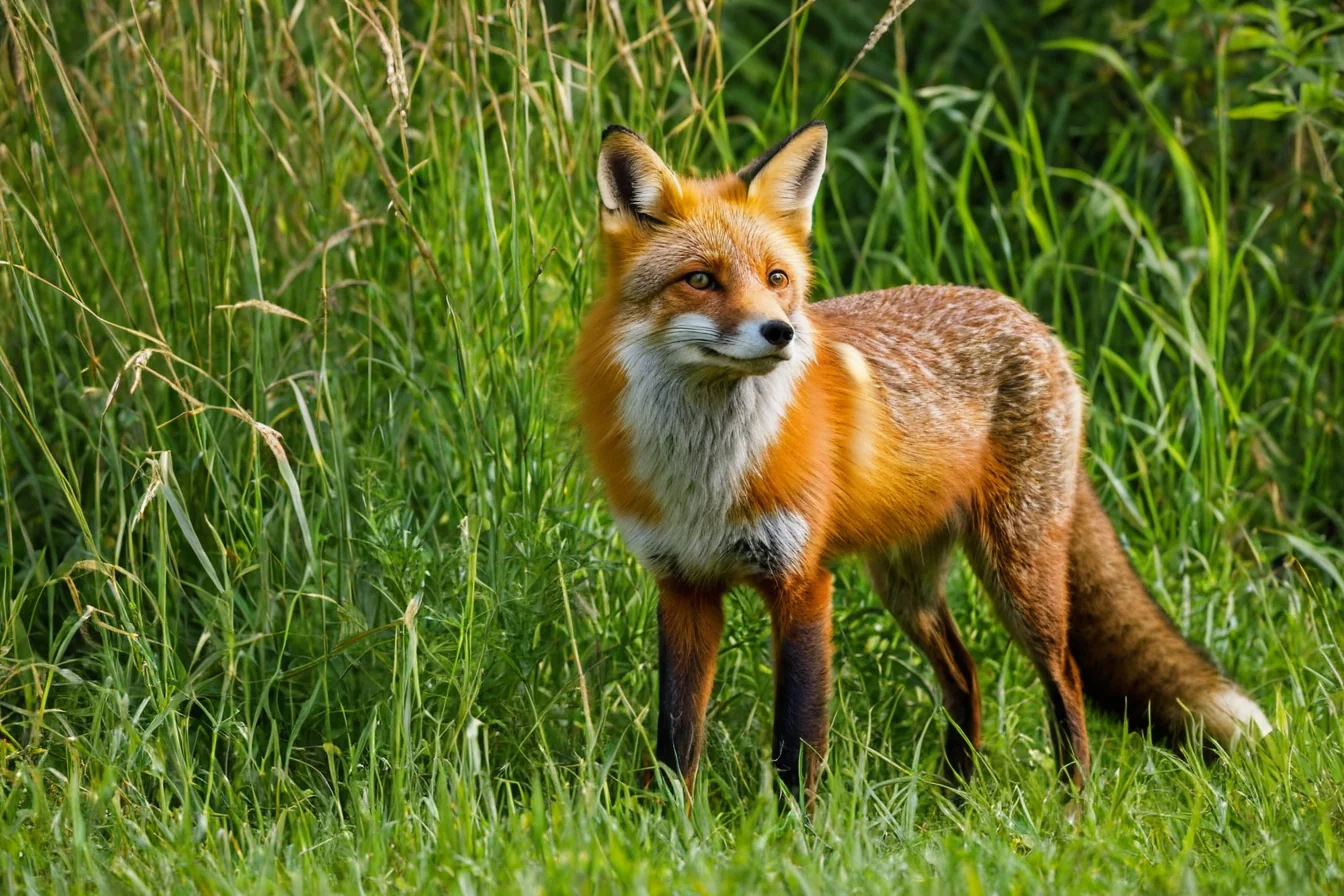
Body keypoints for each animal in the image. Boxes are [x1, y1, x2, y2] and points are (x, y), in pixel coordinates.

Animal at [572, 120, 1272, 813]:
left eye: (776, 278)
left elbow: (797, 735)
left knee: (1066, 675)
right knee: (966, 673)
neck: (708, 475)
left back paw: (1071, 808)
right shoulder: (684, 585)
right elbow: (677, 731)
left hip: (1018, 574)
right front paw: (669, 821)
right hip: (907, 584)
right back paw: (953, 804)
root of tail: (1033, 321)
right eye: (700, 280)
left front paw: (795, 829)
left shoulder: (802, 582)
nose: (781, 332)